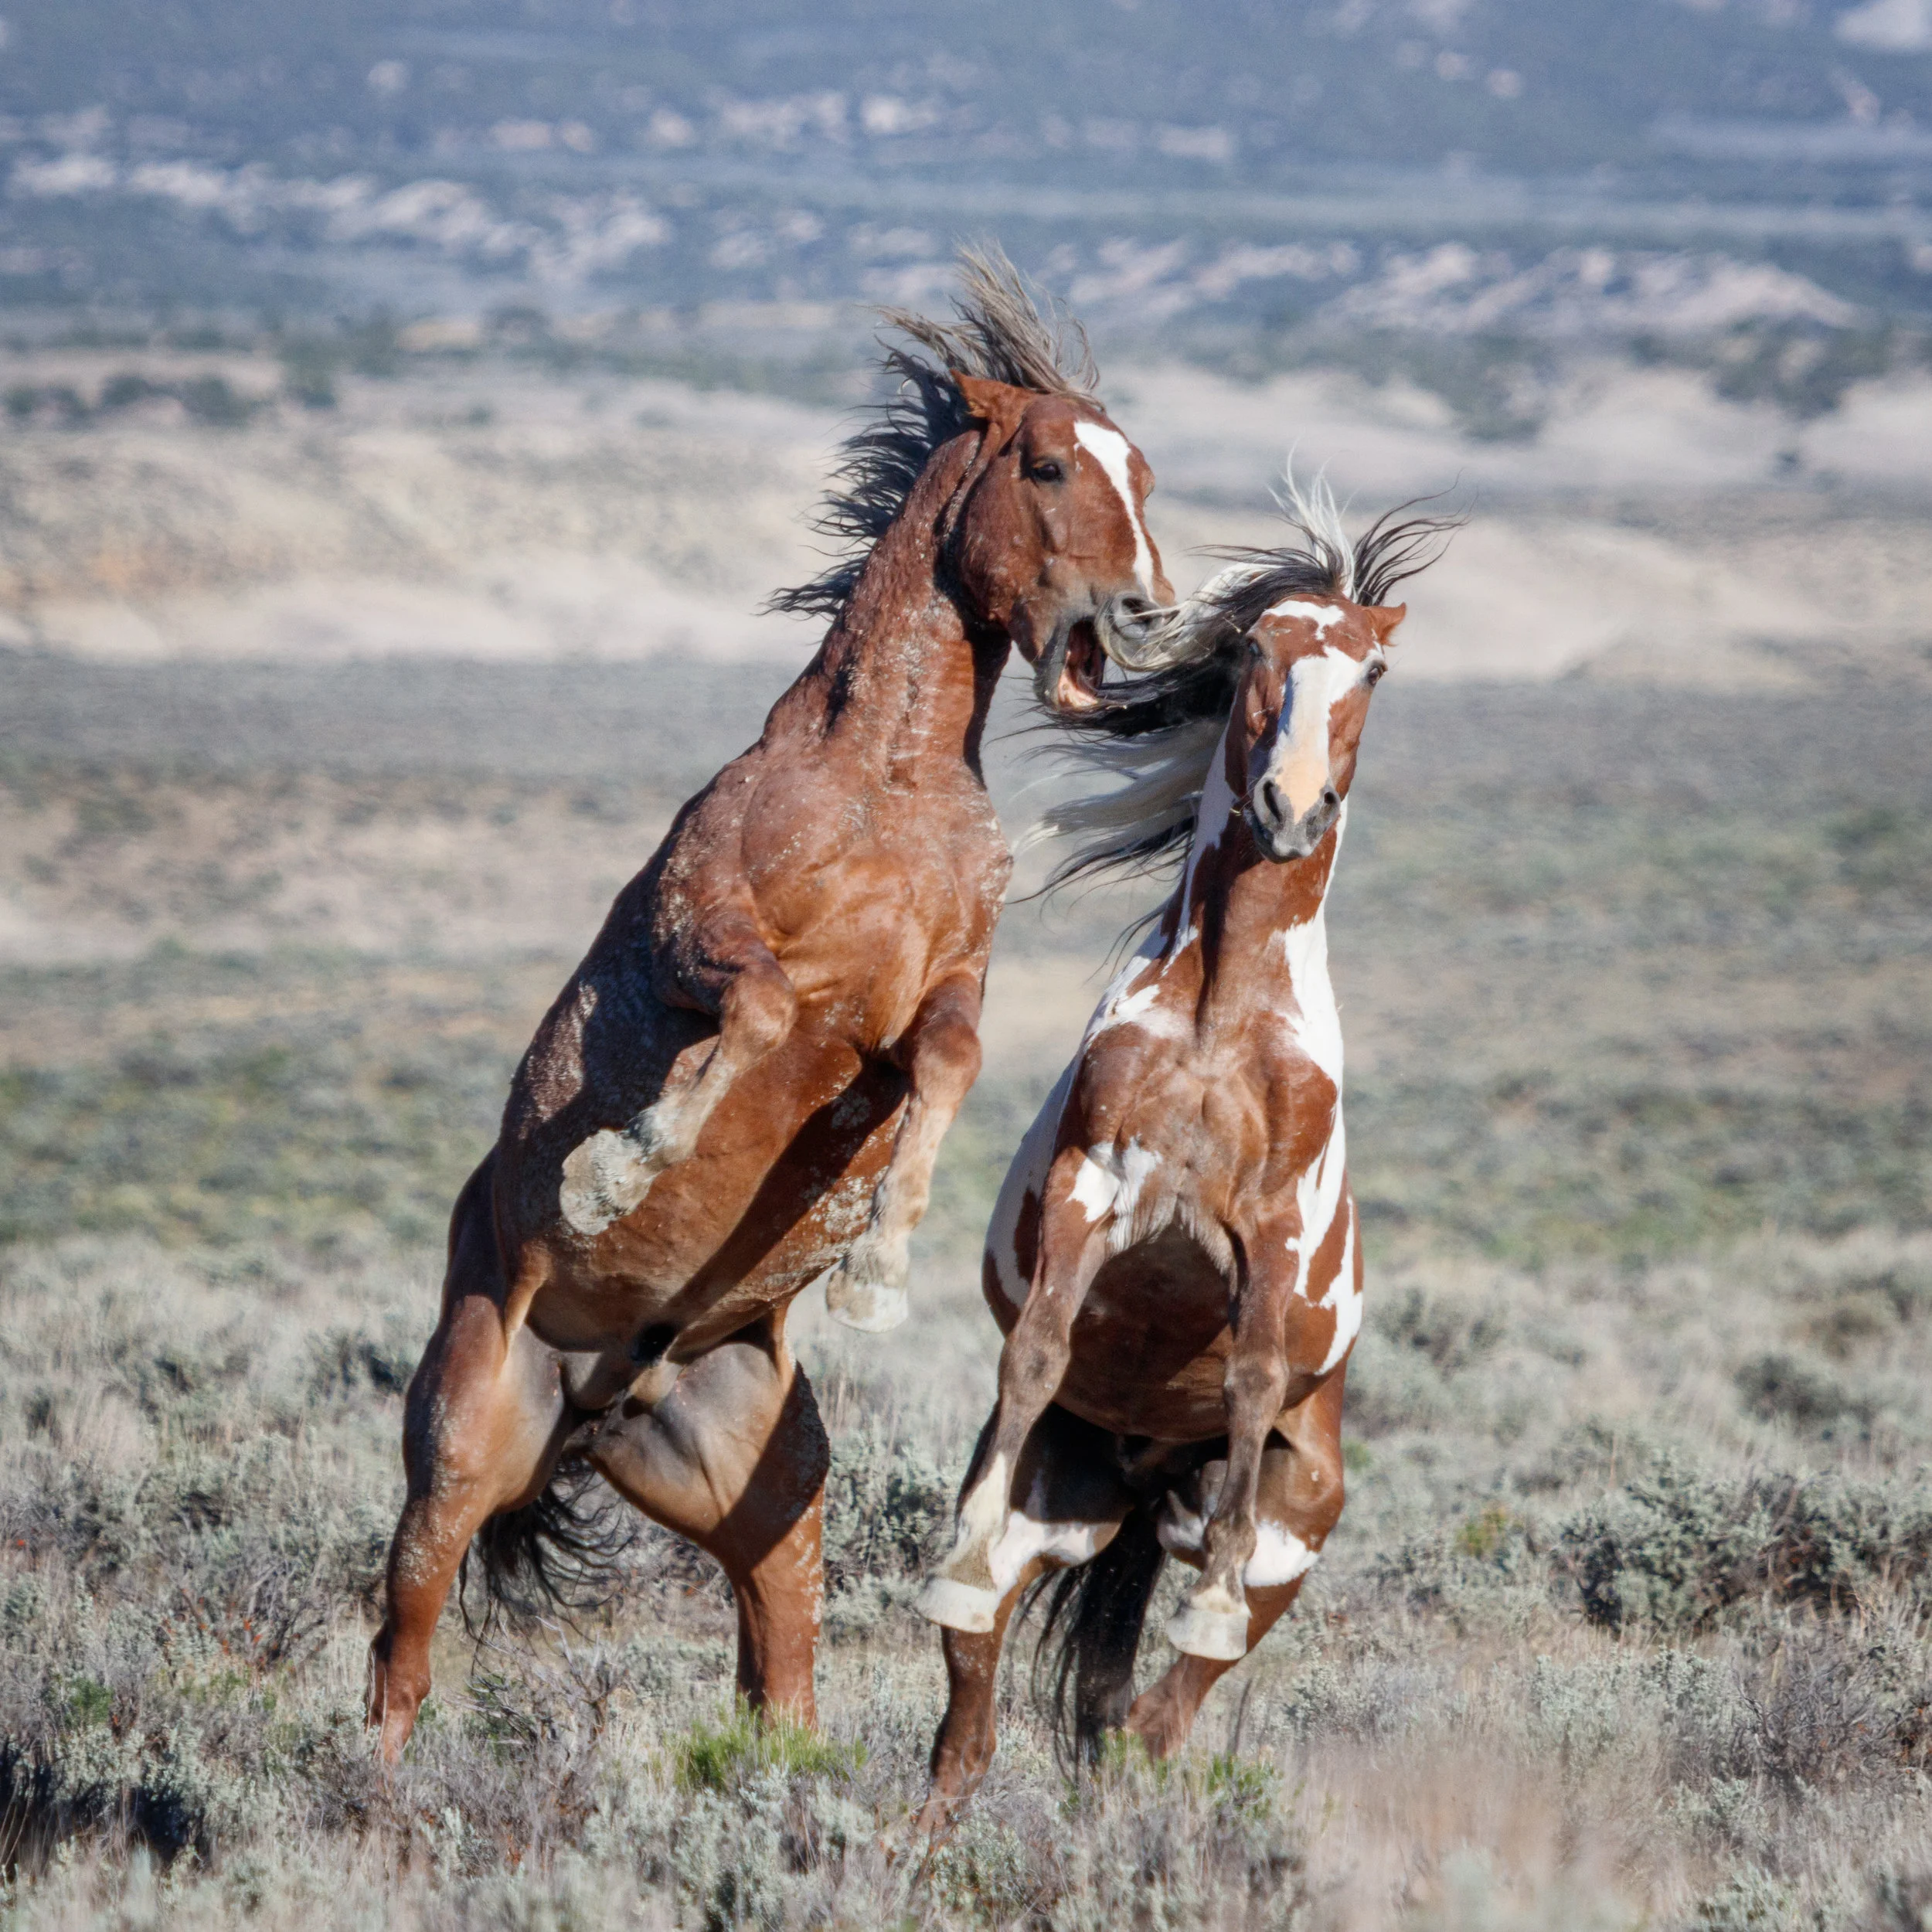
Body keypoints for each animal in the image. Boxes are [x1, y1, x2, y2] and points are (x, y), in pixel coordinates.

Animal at [364, 252, 1174, 1763]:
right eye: (1046, 465)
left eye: (1142, 472)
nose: (1148, 611)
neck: (885, 783)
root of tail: (594, 1403)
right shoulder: (701, 930)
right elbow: (746, 1013)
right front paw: (620, 1169)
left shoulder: (938, 996)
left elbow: (947, 1064)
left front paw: (880, 1265)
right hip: (457, 1448)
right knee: (401, 1653)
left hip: (766, 1495)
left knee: (779, 1678)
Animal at [913, 482, 1454, 1826]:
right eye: (1256, 651)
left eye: (1373, 667)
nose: (1291, 809)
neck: (1224, 1022)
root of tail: (1152, 1474)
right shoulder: (1093, 1187)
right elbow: (1038, 1347)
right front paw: (949, 1565)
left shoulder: (1269, 1232)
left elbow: (1256, 1378)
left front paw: (1202, 1598)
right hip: (1055, 1519)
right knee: (972, 1715)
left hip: (1289, 1547)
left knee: (1164, 1714)